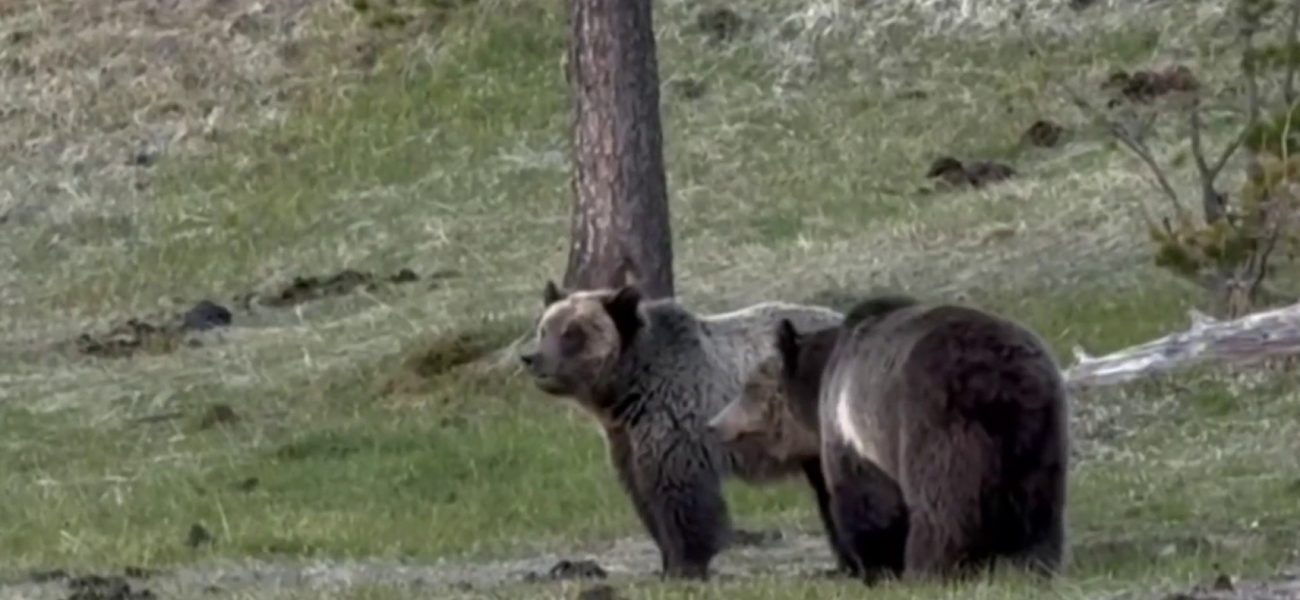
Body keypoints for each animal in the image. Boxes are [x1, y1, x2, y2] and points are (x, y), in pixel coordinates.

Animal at [518, 280, 844, 579]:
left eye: (572, 333)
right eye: (544, 328)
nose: (532, 358)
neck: (629, 389)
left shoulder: (675, 419)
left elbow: (681, 498)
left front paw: (685, 565)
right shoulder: (626, 438)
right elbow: (644, 496)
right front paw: (665, 564)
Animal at [707, 293, 1070, 582]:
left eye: (749, 387)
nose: (714, 425)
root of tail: (999, 378)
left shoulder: (853, 431)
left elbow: (865, 500)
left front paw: (874, 566)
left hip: (935, 421)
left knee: (942, 503)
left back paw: (930, 567)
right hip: (1039, 429)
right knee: (1038, 502)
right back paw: (1032, 562)